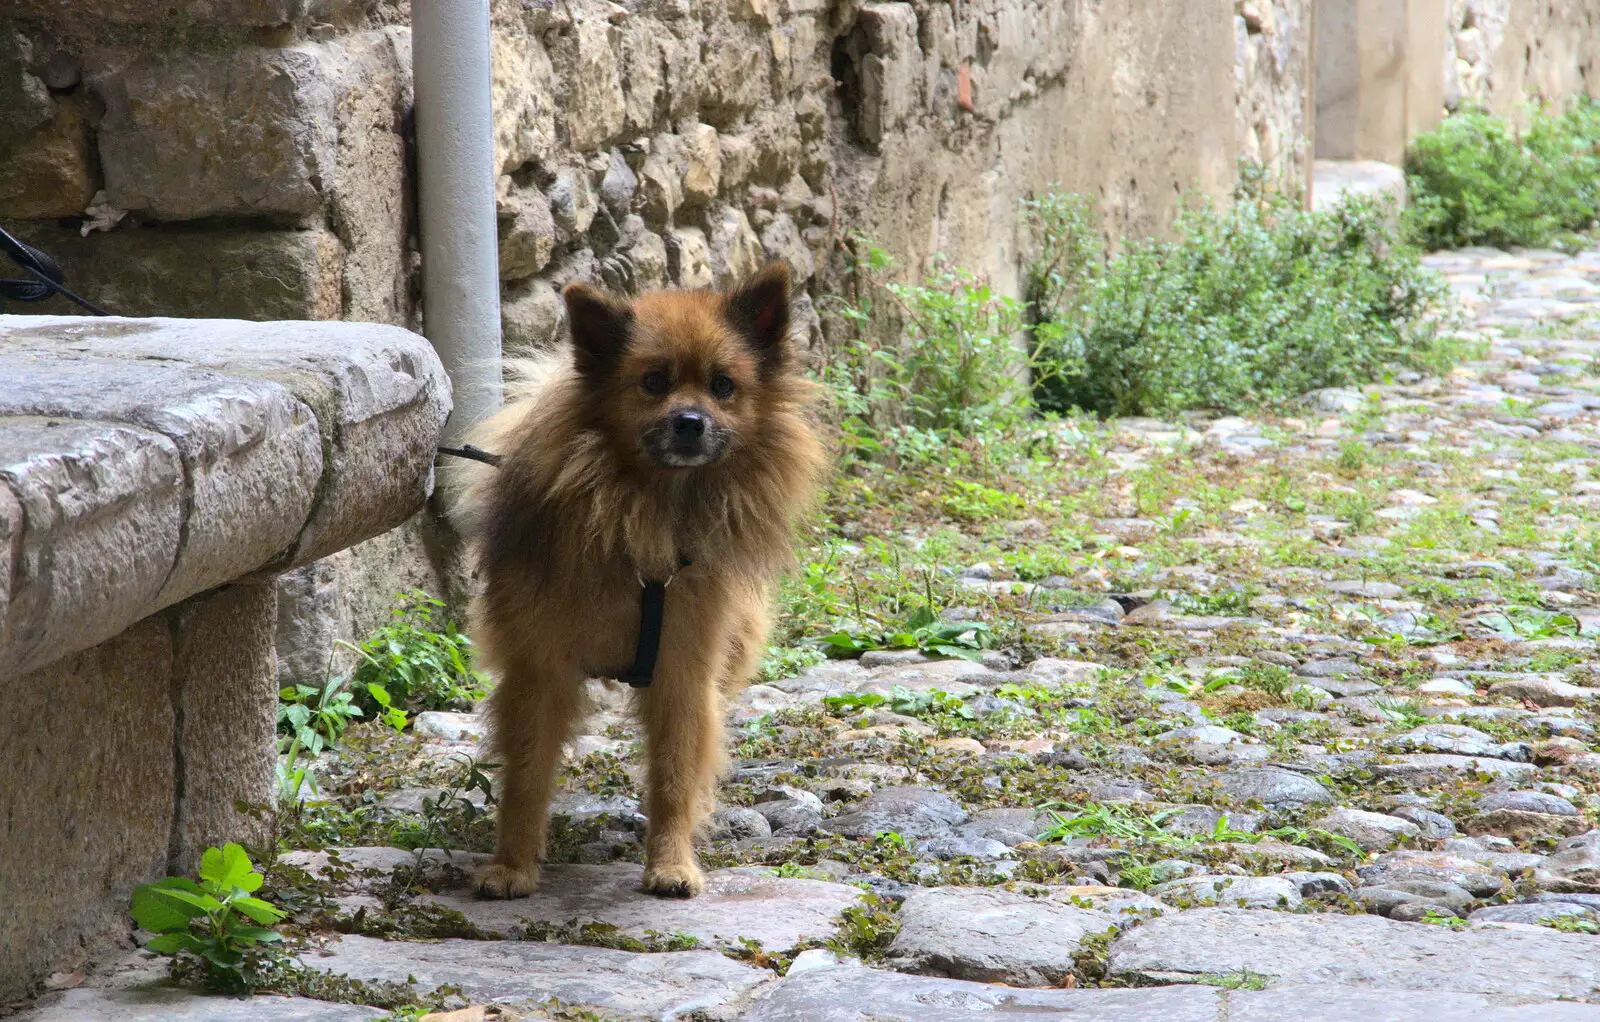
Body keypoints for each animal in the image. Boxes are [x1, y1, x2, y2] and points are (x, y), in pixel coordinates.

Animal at [451, 265, 825, 902]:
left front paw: (671, 863)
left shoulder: (682, 672)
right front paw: (513, 866)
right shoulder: (538, 671)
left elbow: (674, 774)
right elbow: (526, 777)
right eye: (653, 382)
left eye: (723, 386)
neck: (651, 513)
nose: (689, 422)